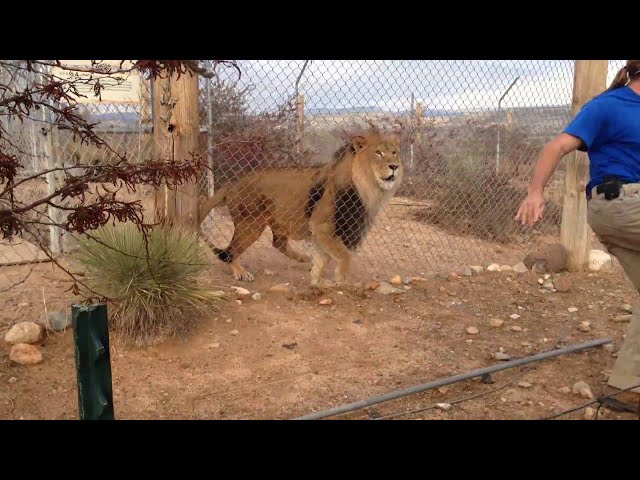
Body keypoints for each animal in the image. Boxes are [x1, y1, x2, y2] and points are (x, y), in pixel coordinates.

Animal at [198, 129, 402, 286]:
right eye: (378, 153)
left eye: (394, 153)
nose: (394, 166)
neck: (369, 189)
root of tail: (232, 184)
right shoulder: (322, 225)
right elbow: (344, 256)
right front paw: (340, 280)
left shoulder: (327, 231)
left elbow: (324, 258)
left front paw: (317, 280)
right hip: (250, 224)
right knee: (230, 250)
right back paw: (240, 272)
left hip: (278, 220)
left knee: (277, 243)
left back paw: (304, 258)